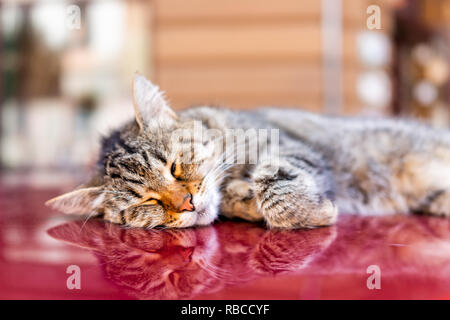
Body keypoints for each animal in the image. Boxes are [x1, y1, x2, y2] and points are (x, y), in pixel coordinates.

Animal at [45, 74, 450, 230]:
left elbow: (273, 185)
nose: (187, 203)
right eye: (147, 202)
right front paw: (242, 202)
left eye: (174, 168)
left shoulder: (288, 148)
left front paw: (312, 212)